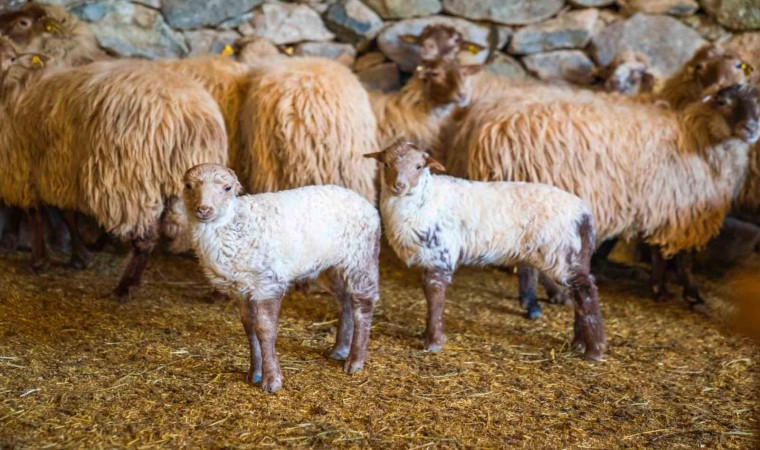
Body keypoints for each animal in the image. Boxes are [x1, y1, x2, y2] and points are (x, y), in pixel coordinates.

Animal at [366, 142, 608, 360]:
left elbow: (435, 297)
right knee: (579, 294)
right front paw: (431, 336)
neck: (425, 200)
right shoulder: (429, 259)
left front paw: (433, 342)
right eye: (386, 164)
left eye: (418, 166)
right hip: (573, 256)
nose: (399, 185)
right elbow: (430, 296)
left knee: (586, 290)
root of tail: (584, 213)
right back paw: (579, 343)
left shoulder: (440, 256)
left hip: (560, 254)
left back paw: (594, 351)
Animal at [458, 84, 760, 310]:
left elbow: (658, 253)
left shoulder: (662, 207)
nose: (752, 129)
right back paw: (553, 296)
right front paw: (689, 294)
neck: (699, 137)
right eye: (724, 102)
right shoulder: (682, 209)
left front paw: (659, 288)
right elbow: (681, 258)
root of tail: (493, 133)